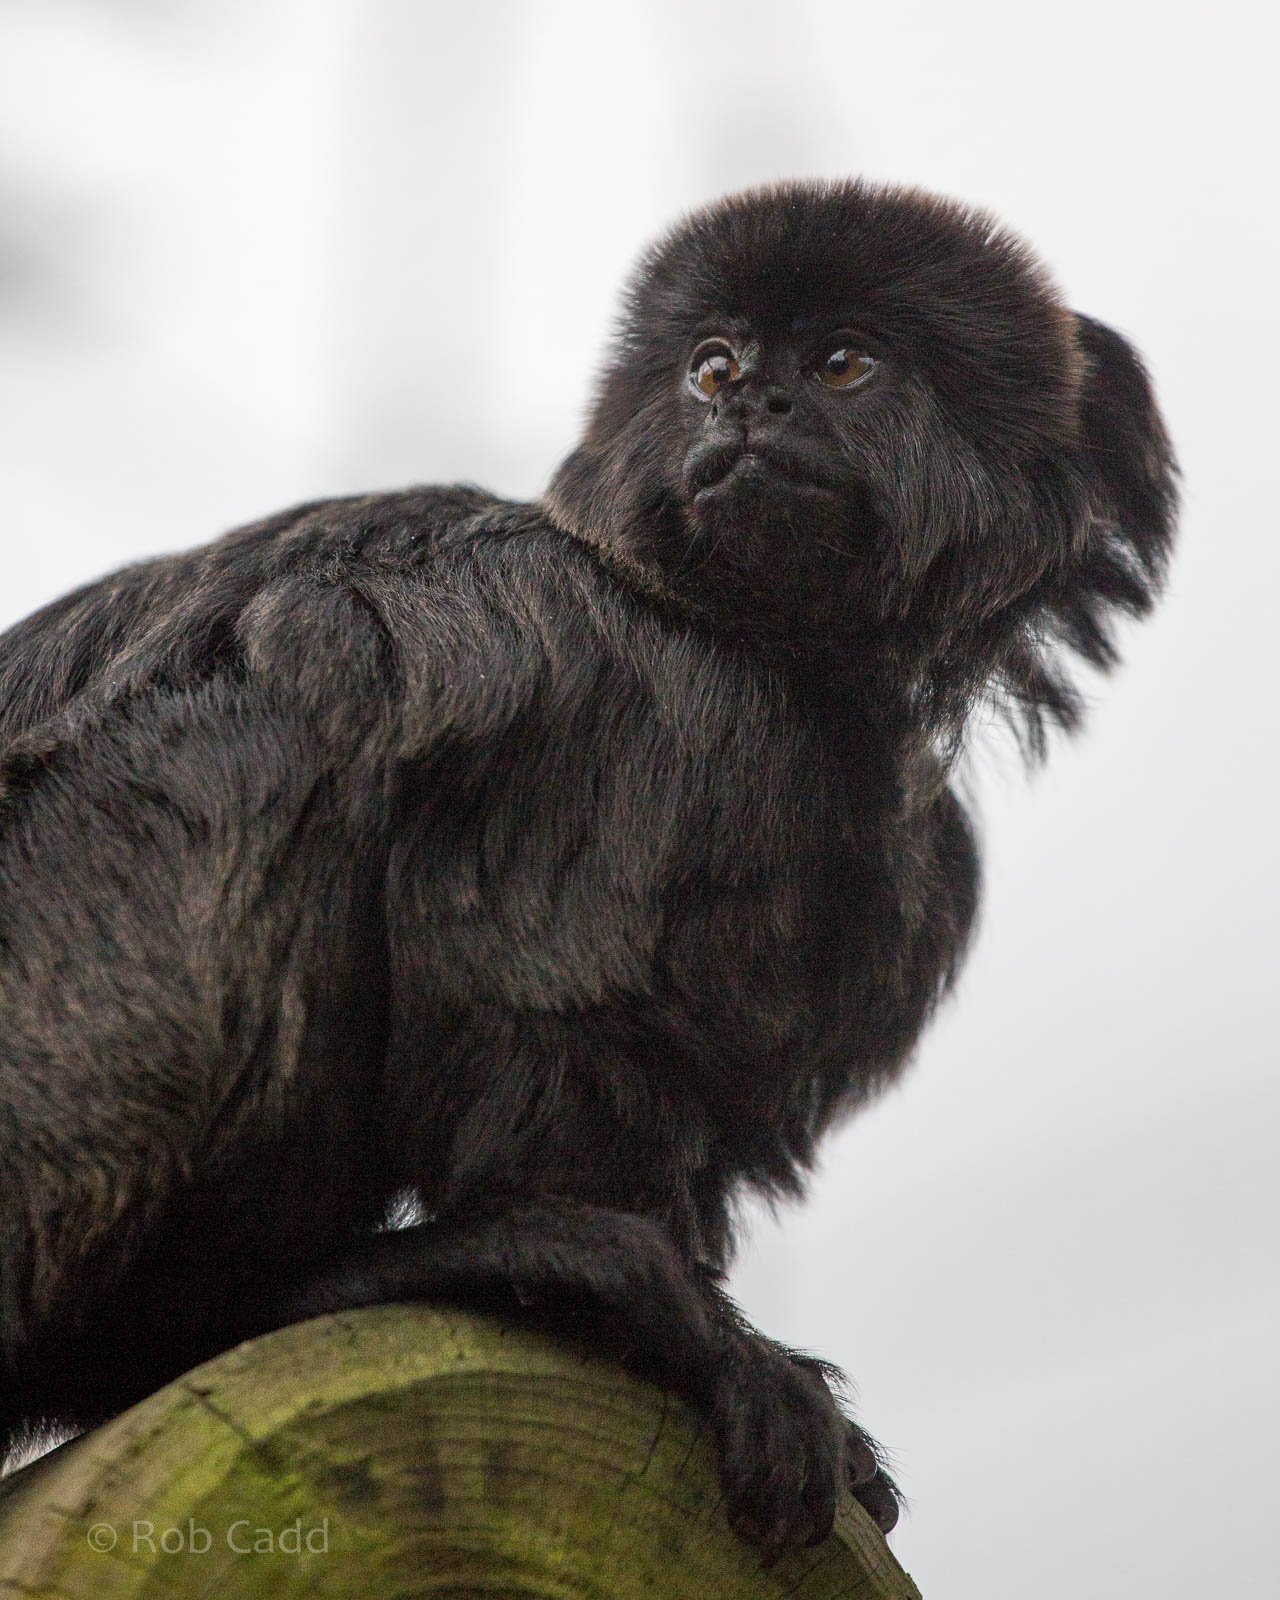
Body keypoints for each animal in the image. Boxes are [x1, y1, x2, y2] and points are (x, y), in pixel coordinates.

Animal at [0, 180, 1175, 1558]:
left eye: (841, 363)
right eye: (712, 364)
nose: (746, 404)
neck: (774, 657)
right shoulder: (652, 704)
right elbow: (538, 1019)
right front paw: (699, 1338)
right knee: (265, 722)